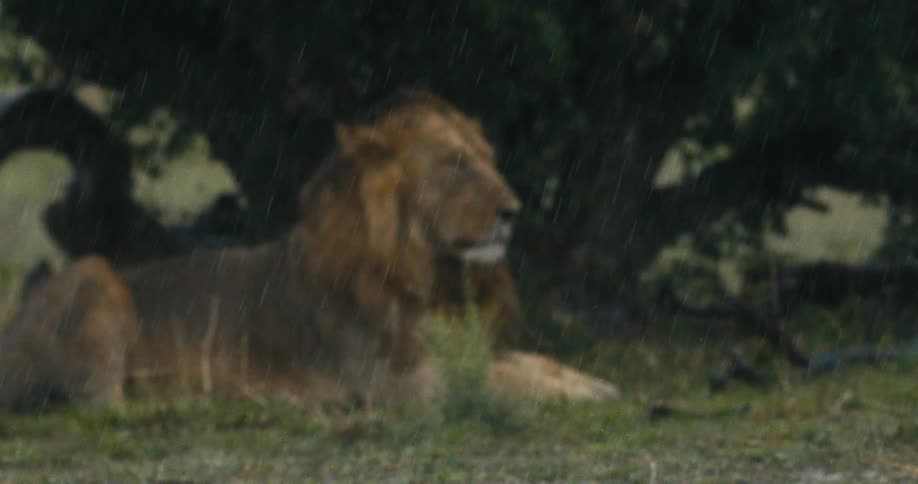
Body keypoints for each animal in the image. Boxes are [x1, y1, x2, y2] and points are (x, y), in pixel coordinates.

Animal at [0, 90, 618, 410]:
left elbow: (530, 364)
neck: (430, 271)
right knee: (101, 398)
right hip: (94, 274)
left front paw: (594, 383)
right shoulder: (394, 382)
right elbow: (502, 382)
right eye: (454, 163)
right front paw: (583, 394)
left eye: (488, 158)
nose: (513, 210)